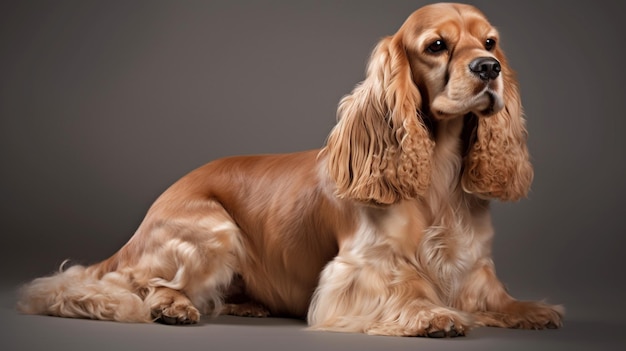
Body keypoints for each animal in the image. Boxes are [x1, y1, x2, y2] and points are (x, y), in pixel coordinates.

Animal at [17, 3, 560, 338]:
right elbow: (405, 289)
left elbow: (498, 298)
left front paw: (532, 310)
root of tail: (139, 229)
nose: (489, 67)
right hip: (214, 231)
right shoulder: (360, 269)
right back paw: (174, 307)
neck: (439, 173)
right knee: (139, 286)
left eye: (490, 41)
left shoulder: (474, 265)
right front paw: (430, 315)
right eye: (436, 46)